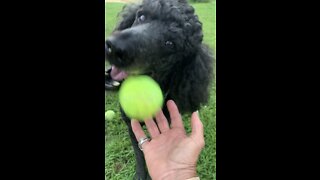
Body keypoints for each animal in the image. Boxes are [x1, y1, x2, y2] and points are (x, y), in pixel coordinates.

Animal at [106, 0, 214, 179]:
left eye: (170, 44)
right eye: (141, 16)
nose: (113, 47)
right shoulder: (131, 126)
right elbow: (140, 154)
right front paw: (140, 175)